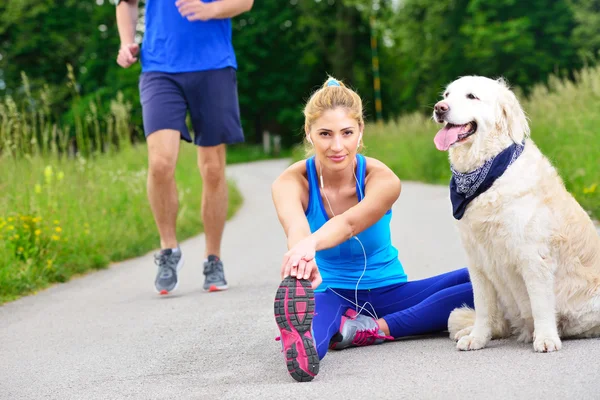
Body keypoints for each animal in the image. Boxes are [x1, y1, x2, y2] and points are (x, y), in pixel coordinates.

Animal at [432, 76, 600, 354]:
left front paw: (546, 339)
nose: (439, 108)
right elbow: (483, 307)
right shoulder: (477, 261)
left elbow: (541, 304)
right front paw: (477, 338)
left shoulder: (533, 256)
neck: (487, 173)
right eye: (446, 95)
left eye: (472, 96)